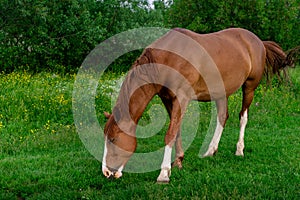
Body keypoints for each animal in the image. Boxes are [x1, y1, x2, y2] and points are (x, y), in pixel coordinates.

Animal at [101, 27, 296, 183]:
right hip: (221, 92)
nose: (107, 172)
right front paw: (178, 161)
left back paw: (239, 150)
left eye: (114, 139)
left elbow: (170, 134)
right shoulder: (168, 99)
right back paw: (211, 151)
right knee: (222, 117)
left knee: (243, 117)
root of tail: (258, 42)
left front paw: (164, 173)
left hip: (249, 87)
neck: (168, 59)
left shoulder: (182, 98)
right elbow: (177, 130)